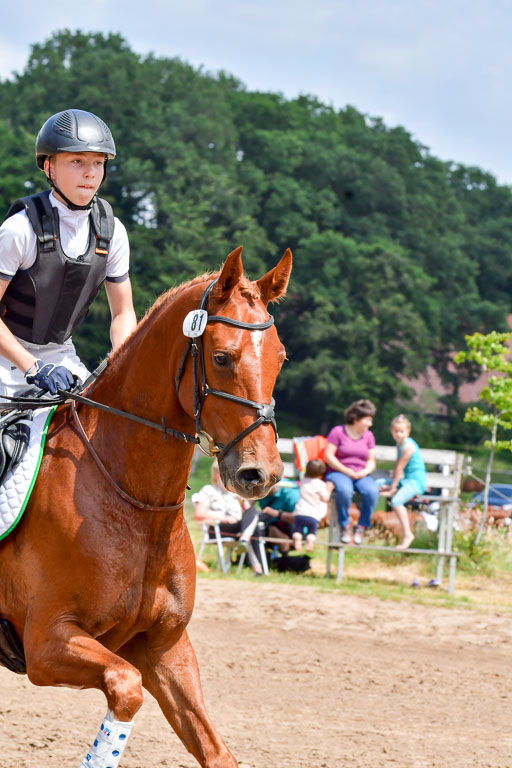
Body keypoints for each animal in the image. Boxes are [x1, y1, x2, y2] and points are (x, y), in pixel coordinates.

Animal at [0, 245, 292, 768]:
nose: (261, 474)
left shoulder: (164, 646)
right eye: (221, 357)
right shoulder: (45, 643)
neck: (135, 504)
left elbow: (215, 750)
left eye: (280, 357)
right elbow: (127, 687)